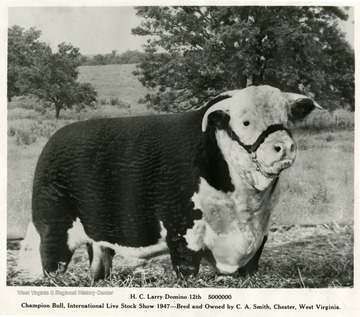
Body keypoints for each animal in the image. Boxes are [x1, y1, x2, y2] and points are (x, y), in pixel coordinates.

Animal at [18, 84, 322, 282]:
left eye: (286, 119)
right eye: (245, 121)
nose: (283, 146)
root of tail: (55, 139)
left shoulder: (260, 236)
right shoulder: (183, 230)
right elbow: (187, 272)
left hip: (98, 235)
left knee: (99, 265)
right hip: (53, 229)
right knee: (52, 263)